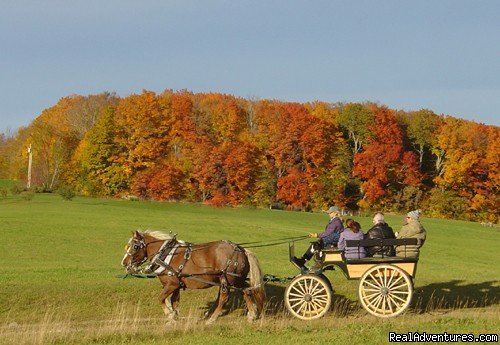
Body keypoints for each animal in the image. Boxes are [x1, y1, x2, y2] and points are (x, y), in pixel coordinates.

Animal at [120, 228, 266, 322]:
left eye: (135, 246)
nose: (124, 263)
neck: (165, 254)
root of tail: (242, 250)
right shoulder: (177, 285)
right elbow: (174, 301)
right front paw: (175, 316)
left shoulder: (172, 284)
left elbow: (161, 298)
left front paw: (169, 315)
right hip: (236, 279)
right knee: (247, 290)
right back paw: (252, 315)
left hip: (227, 279)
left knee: (225, 297)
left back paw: (212, 319)